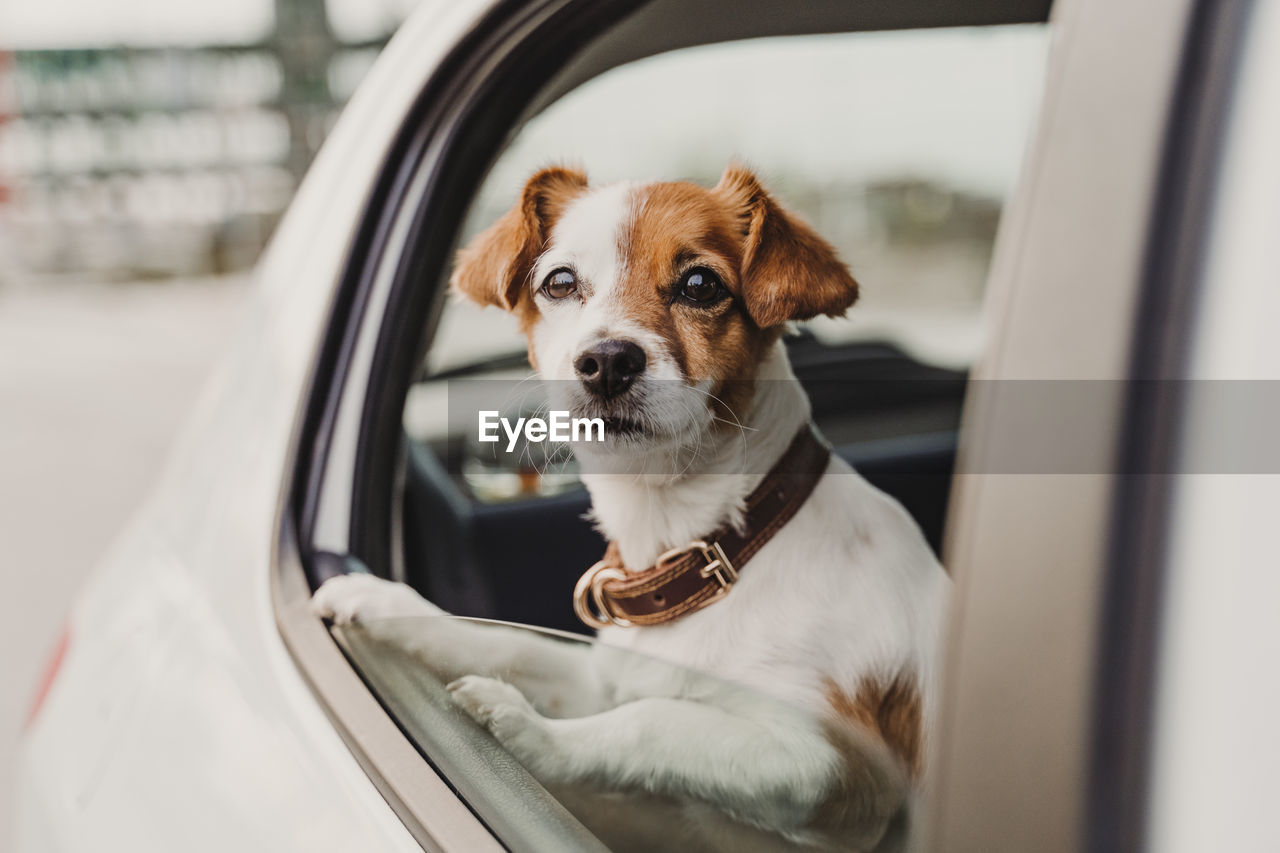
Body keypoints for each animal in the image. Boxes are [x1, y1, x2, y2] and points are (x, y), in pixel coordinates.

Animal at [311, 162, 952, 845]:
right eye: (560, 282)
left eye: (700, 284)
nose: (606, 360)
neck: (721, 543)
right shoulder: (603, 680)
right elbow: (507, 644)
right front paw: (383, 602)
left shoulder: (838, 771)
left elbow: (649, 721)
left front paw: (534, 733)